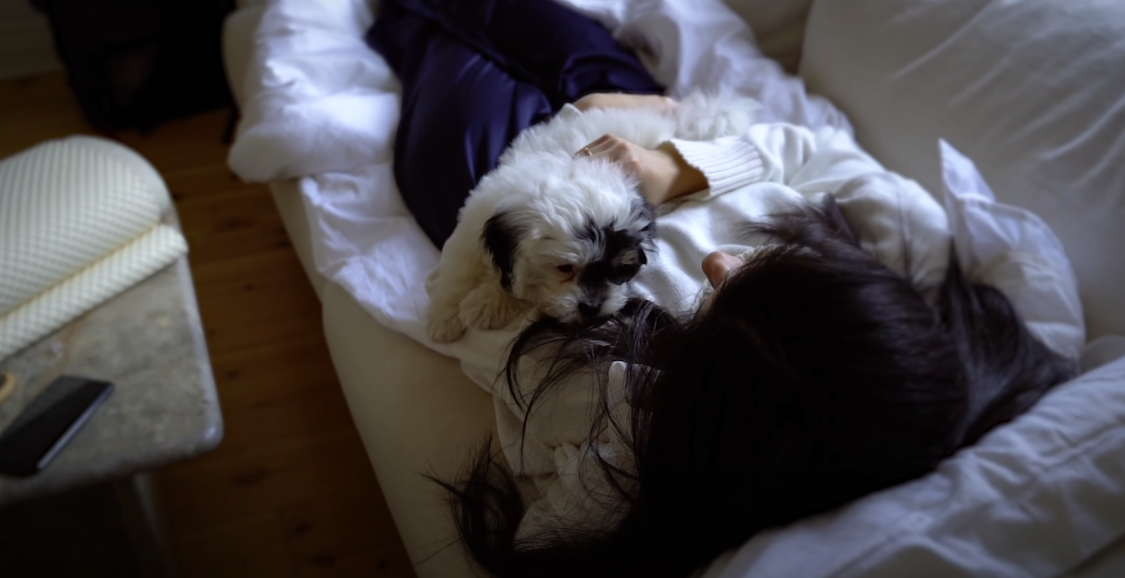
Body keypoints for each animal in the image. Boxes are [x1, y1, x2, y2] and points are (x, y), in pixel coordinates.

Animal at [425, 91, 760, 339]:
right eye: (564, 268)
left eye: (619, 270)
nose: (591, 307)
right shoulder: (478, 219)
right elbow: (460, 269)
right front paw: (444, 317)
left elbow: (511, 283)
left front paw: (487, 303)